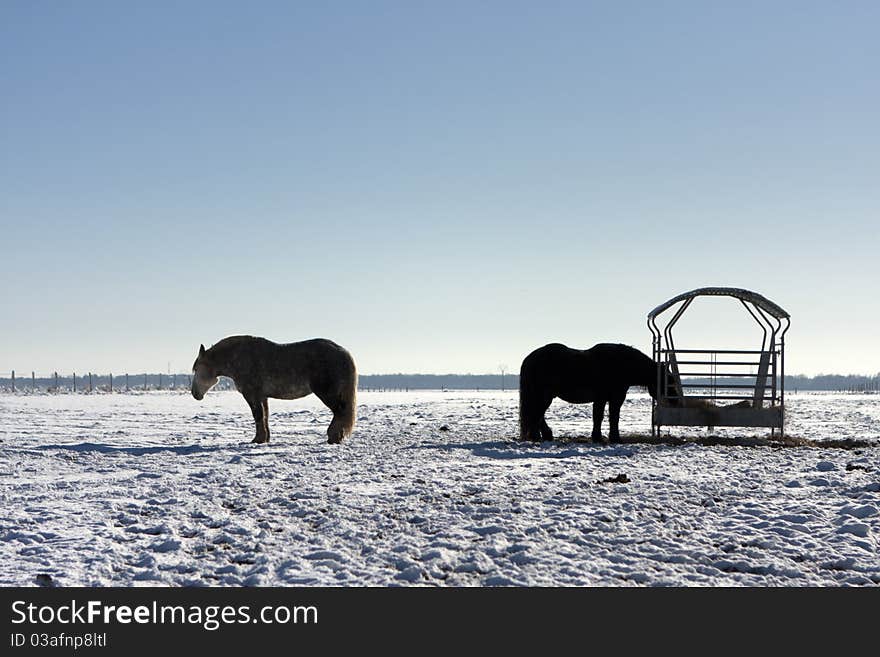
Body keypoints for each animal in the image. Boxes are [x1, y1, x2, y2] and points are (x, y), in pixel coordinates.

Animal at [192, 336, 358, 444]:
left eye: (198, 370)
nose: (195, 394)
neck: (239, 357)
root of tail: (343, 352)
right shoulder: (262, 396)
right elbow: (264, 416)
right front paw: (264, 439)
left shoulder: (252, 395)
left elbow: (258, 416)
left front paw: (258, 440)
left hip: (326, 393)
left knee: (340, 411)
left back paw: (334, 437)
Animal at [520, 344, 672, 440]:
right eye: (669, 380)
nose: (673, 400)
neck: (621, 364)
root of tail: (530, 358)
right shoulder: (614, 398)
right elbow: (610, 417)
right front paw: (612, 438)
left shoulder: (602, 399)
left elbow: (600, 417)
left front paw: (598, 437)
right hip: (543, 396)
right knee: (536, 414)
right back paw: (538, 436)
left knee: (537, 415)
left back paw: (543, 436)